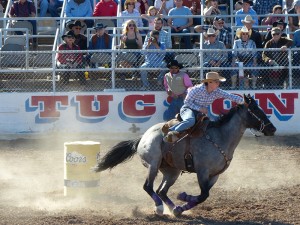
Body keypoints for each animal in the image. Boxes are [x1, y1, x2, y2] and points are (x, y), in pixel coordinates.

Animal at [94, 93, 276, 216]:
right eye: (254, 109)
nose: (272, 129)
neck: (221, 137)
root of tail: (142, 138)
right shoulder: (202, 171)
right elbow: (203, 195)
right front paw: (183, 198)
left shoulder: (215, 175)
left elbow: (203, 196)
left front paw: (181, 204)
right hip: (153, 163)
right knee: (148, 186)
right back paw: (160, 208)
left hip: (171, 171)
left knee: (161, 191)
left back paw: (173, 208)